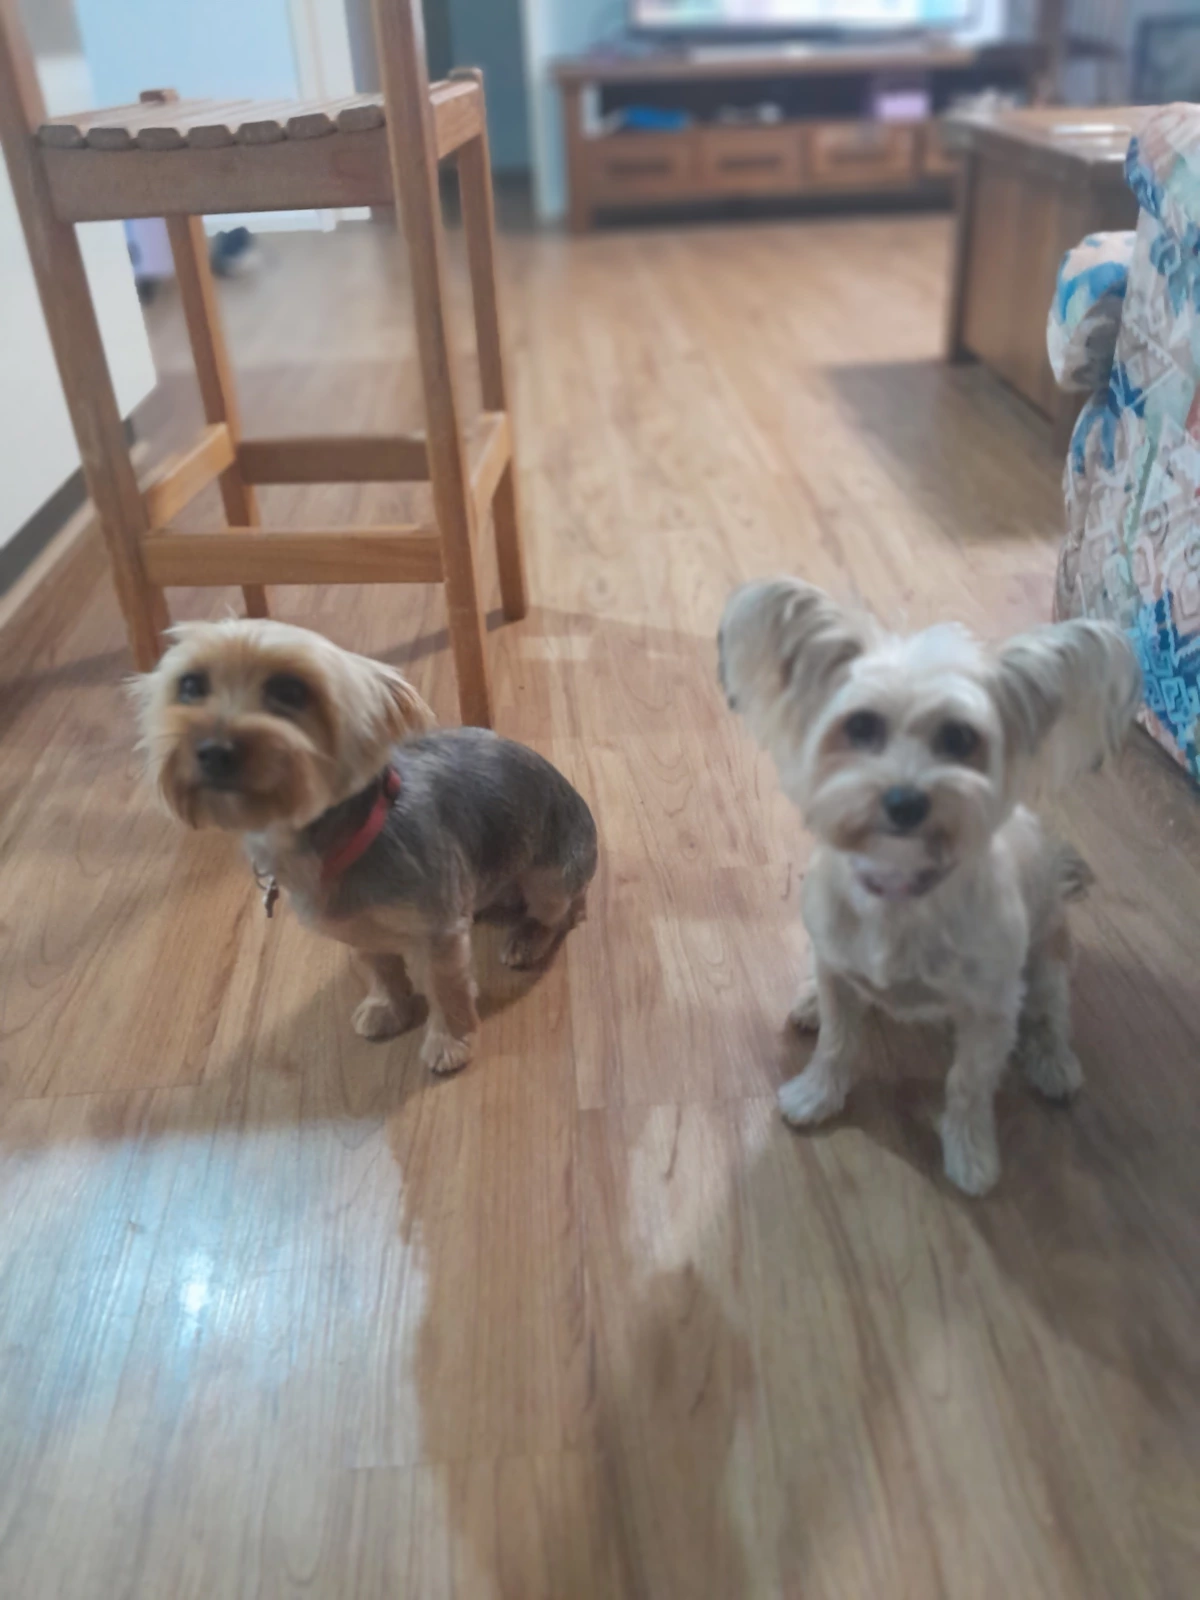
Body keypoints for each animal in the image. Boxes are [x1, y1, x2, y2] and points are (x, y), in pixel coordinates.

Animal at [134, 618, 597, 1076]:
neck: (337, 837)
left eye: (290, 691)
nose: (213, 750)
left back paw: (528, 936)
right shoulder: (358, 927)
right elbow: (380, 969)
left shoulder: (439, 932)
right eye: (190, 685)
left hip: (552, 875)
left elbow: (446, 987)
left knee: (561, 910)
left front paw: (449, 1042)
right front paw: (387, 1008)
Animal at [719, 578, 1142, 1195]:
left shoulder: (989, 1012)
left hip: (1048, 960)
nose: (905, 800)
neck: (900, 889)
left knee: (1050, 1013)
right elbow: (836, 1042)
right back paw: (808, 998)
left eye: (959, 738)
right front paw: (816, 1094)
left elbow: (967, 1084)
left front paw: (970, 1153)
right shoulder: (839, 969)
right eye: (861, 726)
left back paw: (1054, 1063)